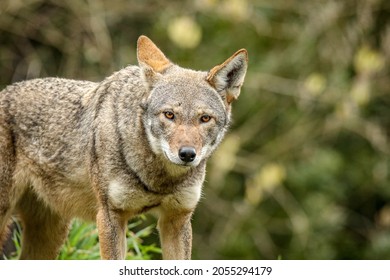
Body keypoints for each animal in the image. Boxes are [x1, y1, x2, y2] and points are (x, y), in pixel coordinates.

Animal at [0, 35, 248, 260]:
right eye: (169, 115)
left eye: (205, 118)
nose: (187, 154)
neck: (158, 180)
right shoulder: (110, 217)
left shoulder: (177, 219)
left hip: (51, 234)